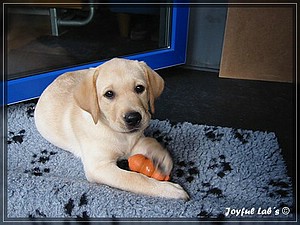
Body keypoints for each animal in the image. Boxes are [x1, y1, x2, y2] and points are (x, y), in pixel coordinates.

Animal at [34, 57, 188, 199]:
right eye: (109, 94)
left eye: (139, 88)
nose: (133, 118)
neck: (118, 133)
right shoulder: (99, 167)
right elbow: (133, 178)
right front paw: (169, 190)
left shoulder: (136, 139)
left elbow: (150, 141)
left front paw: (162, 158)